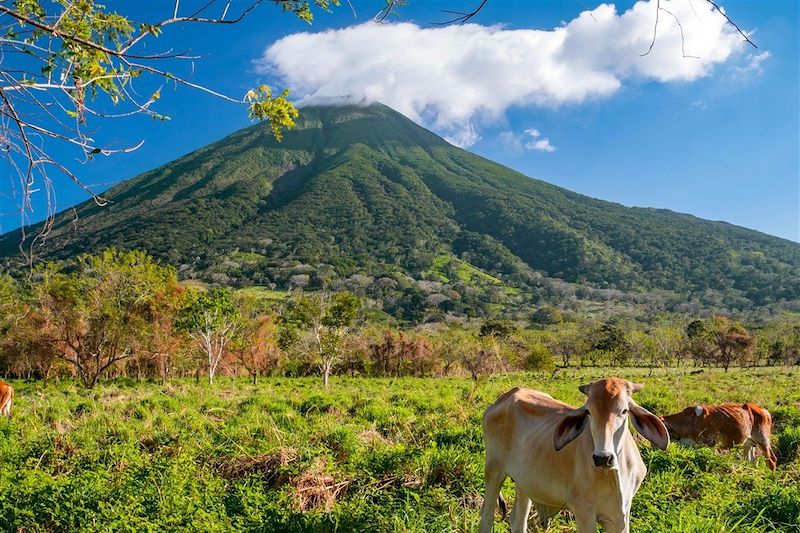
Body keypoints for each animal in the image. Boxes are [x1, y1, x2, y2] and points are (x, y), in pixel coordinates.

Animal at [482, 378, 668, 532]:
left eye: (624, 411)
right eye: (589, 411)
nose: (602, 458)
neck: (613, 475)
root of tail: (505, 397)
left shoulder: (621, 514)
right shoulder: (584, 511)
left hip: (524, 482)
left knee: (517, 521)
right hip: (493, 470)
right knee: (486, 517)